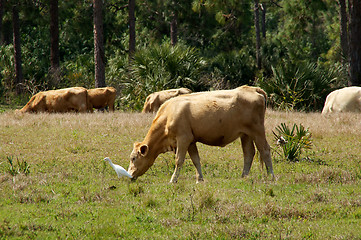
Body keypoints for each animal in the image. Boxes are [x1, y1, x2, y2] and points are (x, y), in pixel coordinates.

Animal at [128, 85, 272, 183]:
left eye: (133, 158)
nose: (129, 175)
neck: (168, 115)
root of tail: (253, 89)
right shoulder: (191, 141)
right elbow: (196, 160)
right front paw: (200, 179)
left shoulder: (183, 139)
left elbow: (179, 160)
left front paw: (173, 180)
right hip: (245, 134)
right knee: (248, 153)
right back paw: (244, 177)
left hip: (258, 130)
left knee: (265, 150)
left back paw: (271, 176)